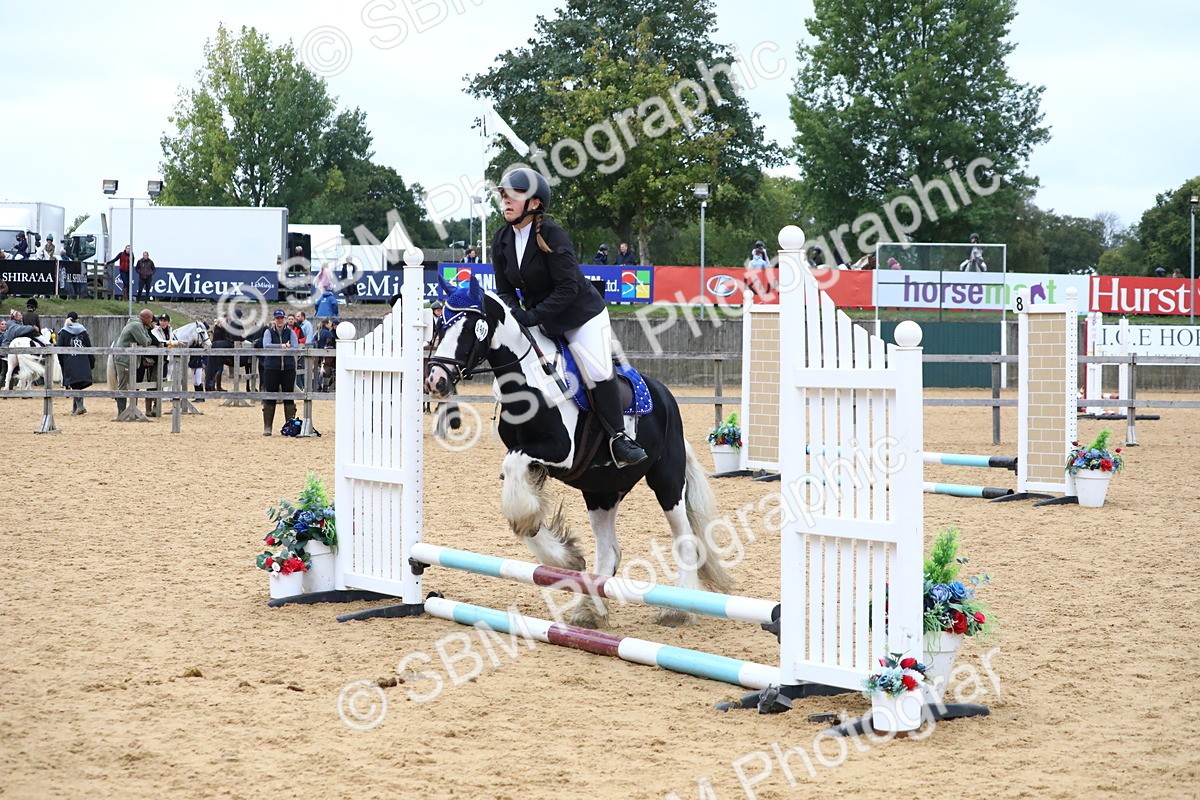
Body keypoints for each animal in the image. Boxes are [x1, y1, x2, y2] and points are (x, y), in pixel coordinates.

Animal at [425, 277, 731, 629]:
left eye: (470, 327)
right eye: (440, 325)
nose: (436, 380)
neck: (529, 380)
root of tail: (665, 397)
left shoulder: (559, 451)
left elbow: (515, 479)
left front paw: (547, 540)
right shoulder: (537, 462)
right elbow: (521, 498)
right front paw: (566, 557)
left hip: (666, 480)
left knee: (685, 540)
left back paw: (677, 609)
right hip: (602, 491)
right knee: (610, 551)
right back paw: (589, 610)